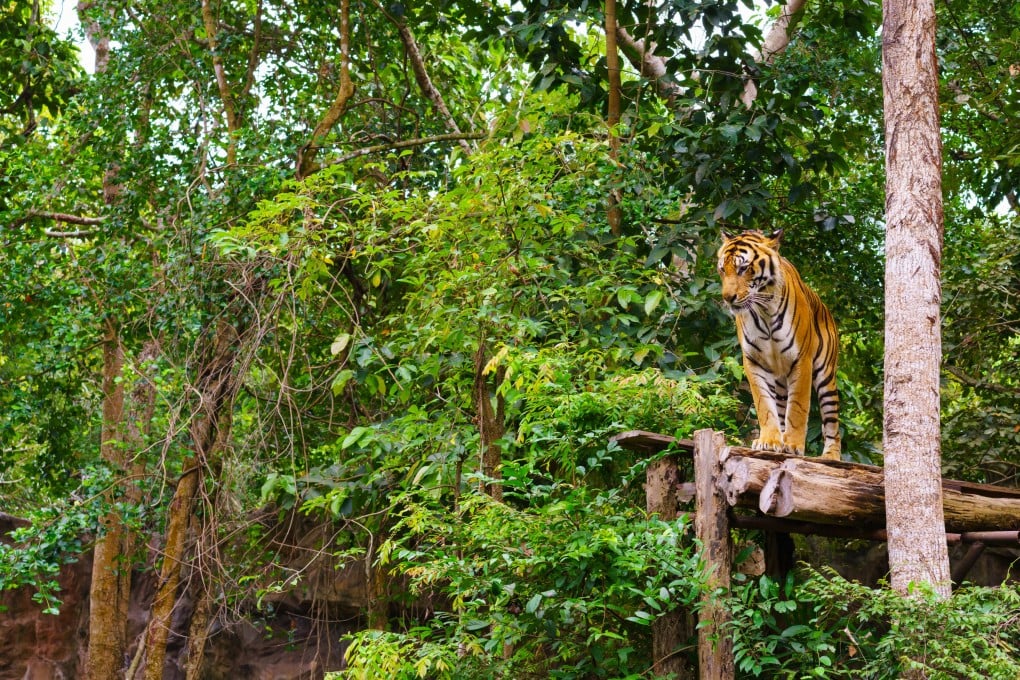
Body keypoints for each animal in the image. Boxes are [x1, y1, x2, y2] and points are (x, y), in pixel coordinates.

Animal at [716, 229, 841, 459]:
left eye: (743, 268)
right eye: (722, 269)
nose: (728, 298)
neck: (764, 310)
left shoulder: (801, 360)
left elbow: (798, 407)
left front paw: (793, 445)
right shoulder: (754, 362)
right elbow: (764, 405)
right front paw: (769, 441)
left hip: (826, 376)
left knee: (832, 425)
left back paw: (830, 456)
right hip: (782, 382)